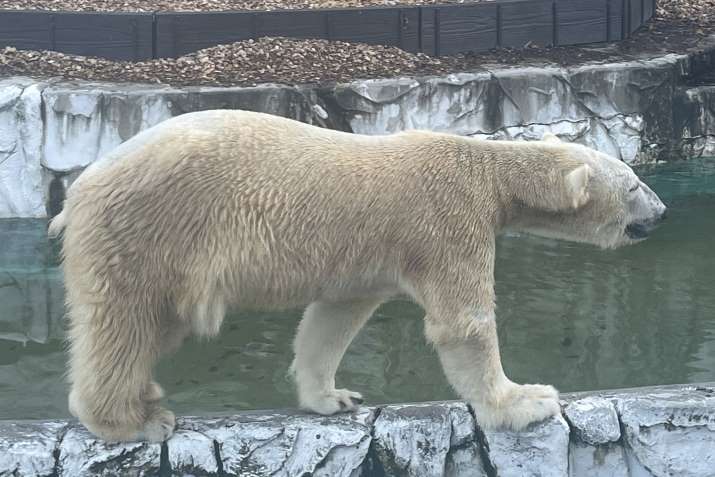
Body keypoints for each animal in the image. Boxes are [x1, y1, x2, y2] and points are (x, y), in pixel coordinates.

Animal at [50, 109, 664, 440]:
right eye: (634, 183)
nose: (660, 212)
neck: (490, 171)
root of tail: (79, 190)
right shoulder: (448, 221)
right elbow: (462, 323)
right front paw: (526, 400)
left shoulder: (366, 260)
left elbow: (332, 320)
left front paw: (333, 397)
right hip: (152, 232)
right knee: (126, 323)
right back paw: (132, 420)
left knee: (152, 328)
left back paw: (147, 399)